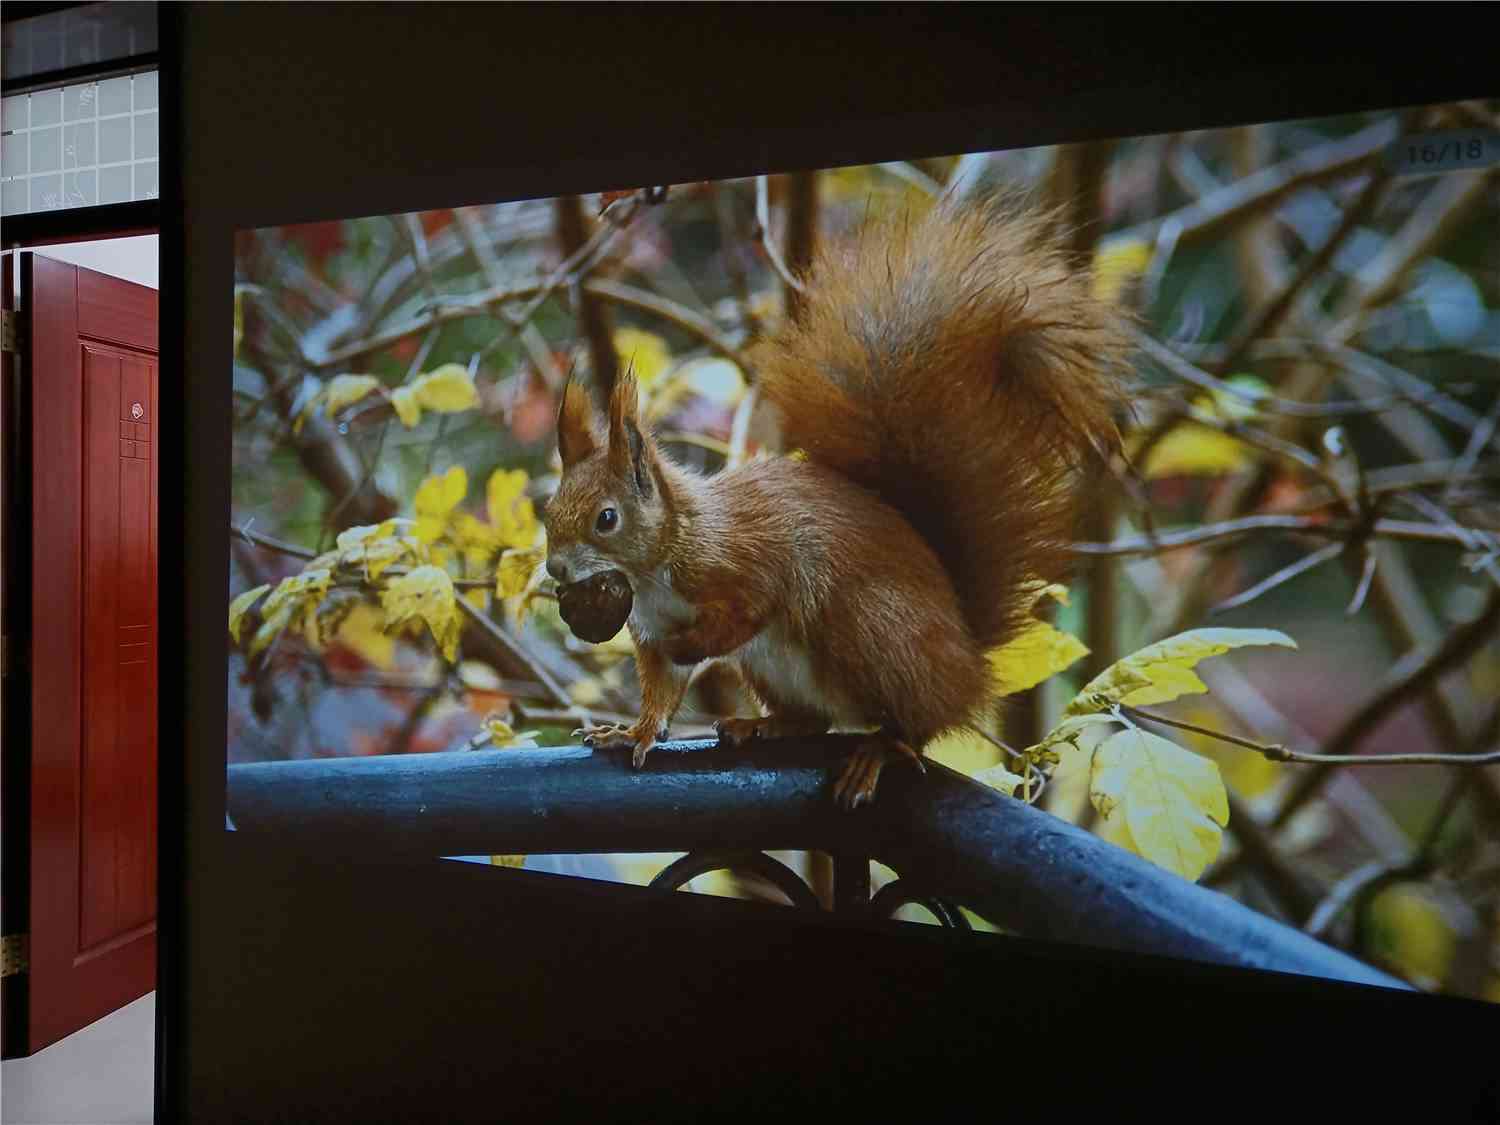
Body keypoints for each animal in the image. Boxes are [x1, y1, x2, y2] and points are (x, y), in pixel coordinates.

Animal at [546, 196, 1128, 810]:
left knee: (915, 726)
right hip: (779, 668)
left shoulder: (747, 560)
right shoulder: (650, 634)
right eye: (549, 511)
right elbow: (660, 692)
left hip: (871, 632)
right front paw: (630, 733)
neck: (658, 566)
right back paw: (765, 724)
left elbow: (749, 610)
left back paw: (879, 749)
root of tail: (967, 662)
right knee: (818, 721)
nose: (555, 569)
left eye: (606, 519)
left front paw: (694, 646)